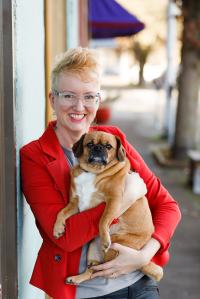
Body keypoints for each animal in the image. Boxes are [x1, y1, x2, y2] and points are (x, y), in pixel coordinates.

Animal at [52, 132, 162, 286]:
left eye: (109, 146)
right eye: (90, 144)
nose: (98, 148)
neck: (92, 171)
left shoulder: (113, 201)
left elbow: (103, 220)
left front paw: (104, 238)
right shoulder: (74, 203)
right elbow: (61, 213)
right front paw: (57, 228)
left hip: (115, 241)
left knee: (101, 267)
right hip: (92, 248)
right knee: (92, 271)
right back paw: (76, 278)